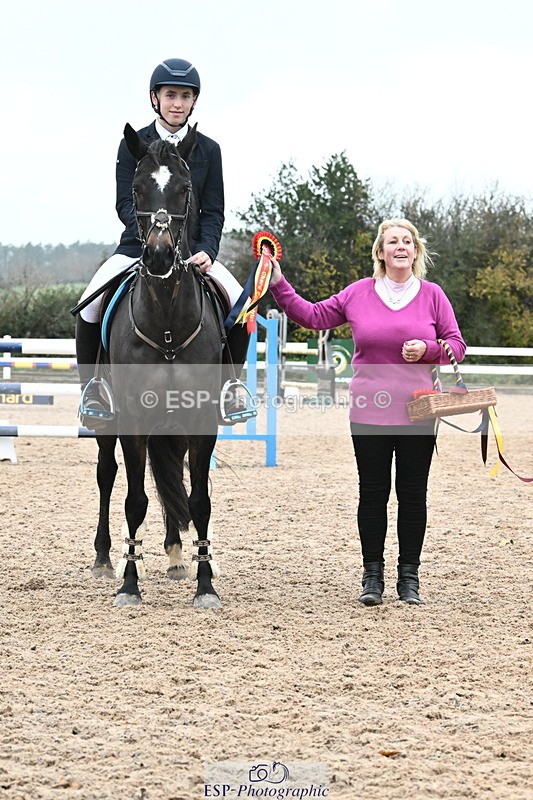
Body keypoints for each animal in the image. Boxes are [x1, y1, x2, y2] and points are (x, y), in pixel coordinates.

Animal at [91, 123, 224, 609]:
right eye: (135, 188)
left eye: (186, 189)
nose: (161, 256)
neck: (166, 320)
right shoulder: (131, 419)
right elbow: (134, 500)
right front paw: (130, 584)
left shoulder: (201, 419)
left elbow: (198, 500)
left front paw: (206, 585)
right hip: (106, 421)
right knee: (106, 474)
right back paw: (104, 559)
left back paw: (176, 555)